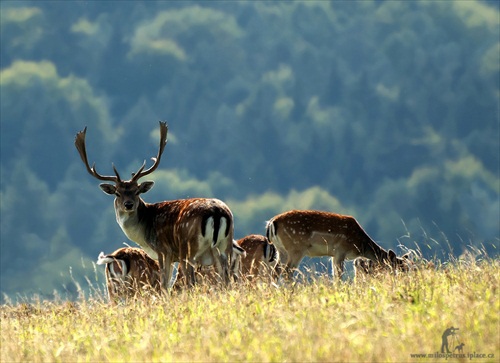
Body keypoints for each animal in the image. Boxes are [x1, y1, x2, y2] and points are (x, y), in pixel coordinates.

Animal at [266, 209, 410, 280]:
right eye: (398, 267)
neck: (360, 244)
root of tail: (272, 223)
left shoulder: (333, 255)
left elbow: (335, 274)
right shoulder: (341, 251)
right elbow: (339, 275)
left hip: (281, 251)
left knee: (275, 271)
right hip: (296, 249)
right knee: (287, 271)